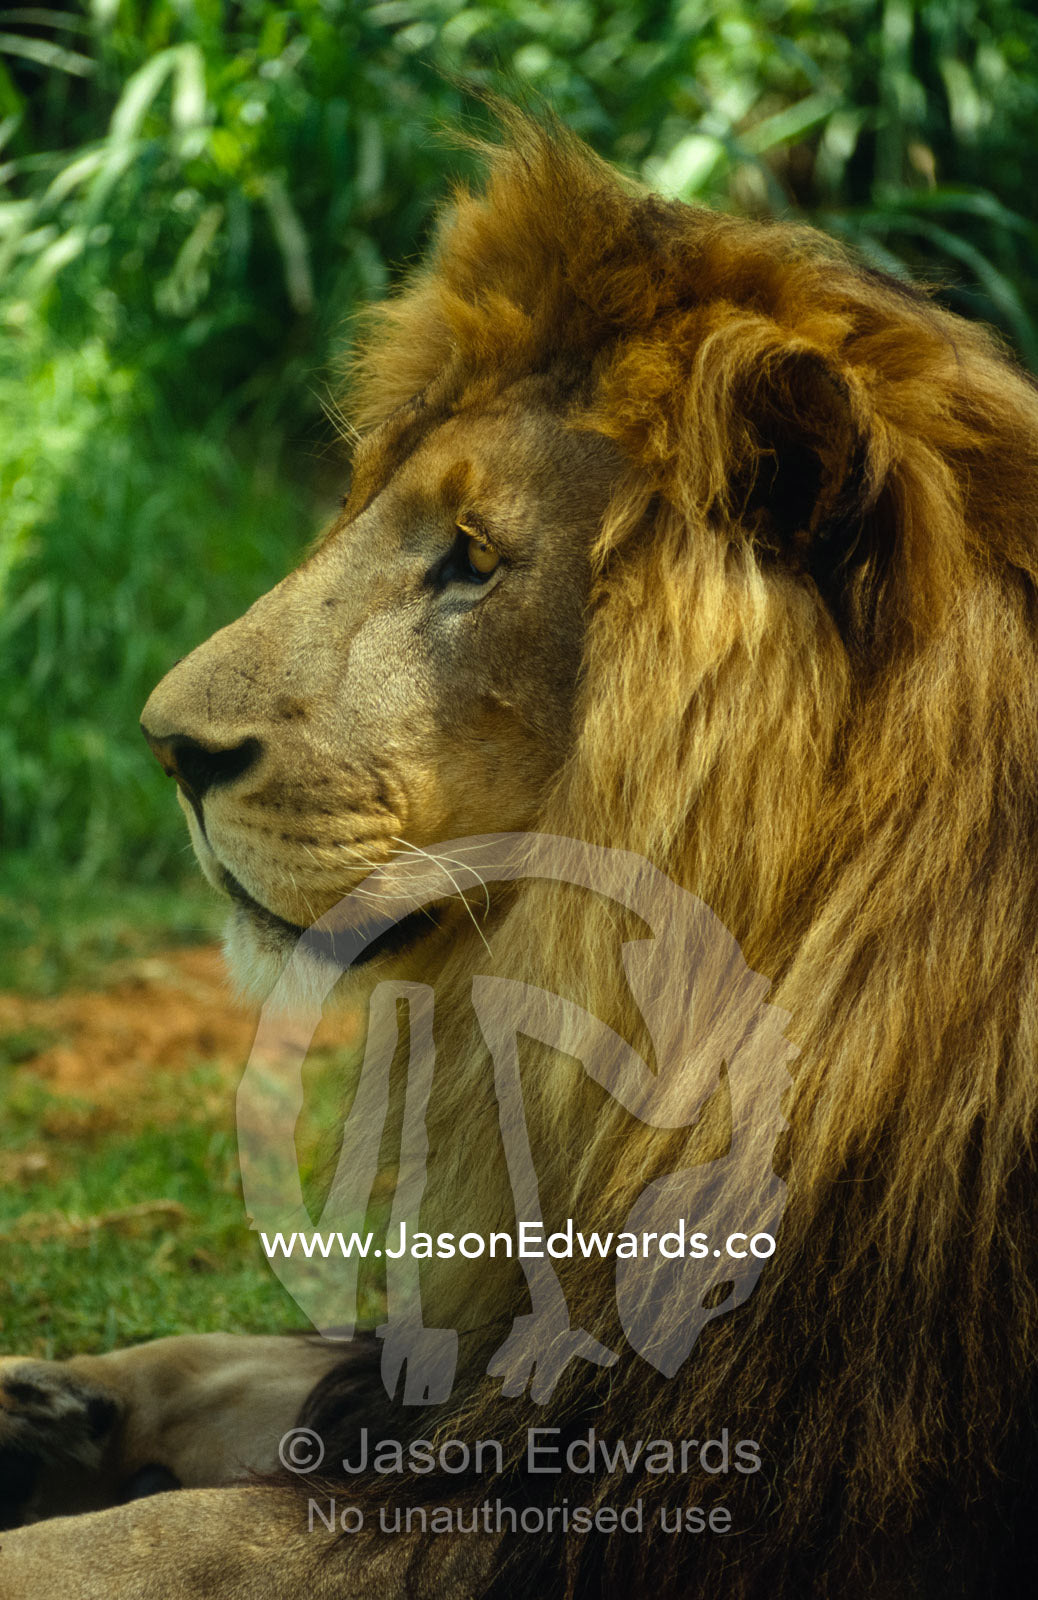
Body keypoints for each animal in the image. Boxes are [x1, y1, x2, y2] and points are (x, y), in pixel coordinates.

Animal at [2, 108, 1038, 1599]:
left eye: (471, 560)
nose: (168, 748)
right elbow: (258, 1364)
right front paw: (50, 1404)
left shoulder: (655, 1483)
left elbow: (149, 1543)